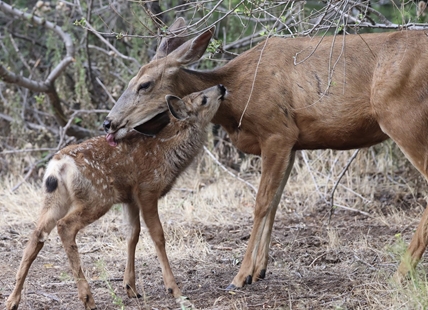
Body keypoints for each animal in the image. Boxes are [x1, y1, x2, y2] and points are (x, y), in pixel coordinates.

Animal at [6, 85, 227, 310]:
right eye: (203, 99)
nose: (221, 87)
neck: (166, 150)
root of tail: (58, 166)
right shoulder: (147, 189)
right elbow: (157, 235)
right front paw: (174, 290)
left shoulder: (130, 198)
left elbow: (132, 233)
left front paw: (130, 287)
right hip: (97, 197)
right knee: (65, 226)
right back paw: (87, 297)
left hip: (55, 200)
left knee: (37, 234)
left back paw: (12, 300)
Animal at [103, 18, 428, 290]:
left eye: (145, 84)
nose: (109, 122)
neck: (238, 97)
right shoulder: (292, 143)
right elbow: (274, 203)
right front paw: (259, 270)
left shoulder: (277, 132)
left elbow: (260, 203)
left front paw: (240, 276)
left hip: (403, 117)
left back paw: (400, 273)